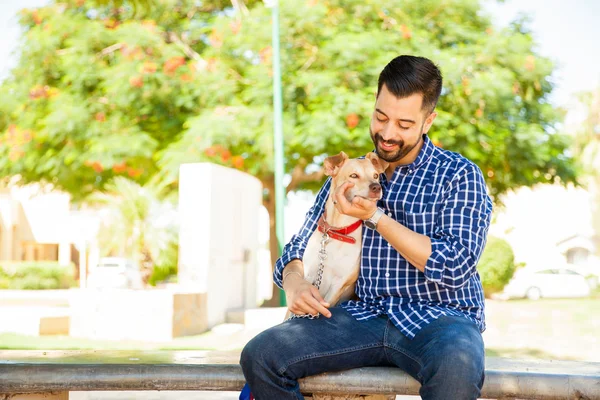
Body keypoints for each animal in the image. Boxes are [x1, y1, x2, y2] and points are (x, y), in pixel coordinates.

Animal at [288, 152, 390, 318]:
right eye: (354, 175)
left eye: (376, 176)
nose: (376, 187)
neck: (337, 231)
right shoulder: (308, 276)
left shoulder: (339, 284)